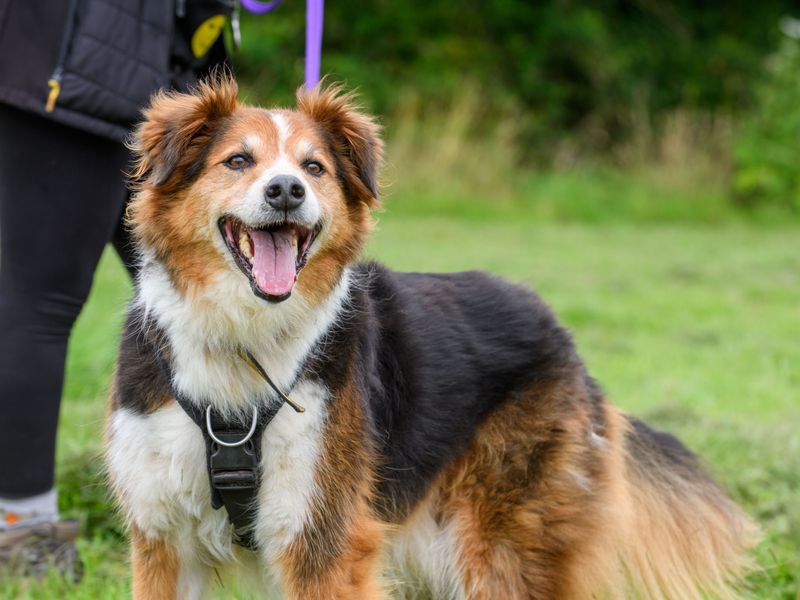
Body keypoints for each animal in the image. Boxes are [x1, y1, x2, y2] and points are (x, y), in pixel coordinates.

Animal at [104, 77, 756, 596]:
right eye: (238, 161)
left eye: (314, 168)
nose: (286, 189)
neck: (242, 339)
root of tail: (558, 329)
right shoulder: (163, 538)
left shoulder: (324, 538)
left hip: (502, 544)